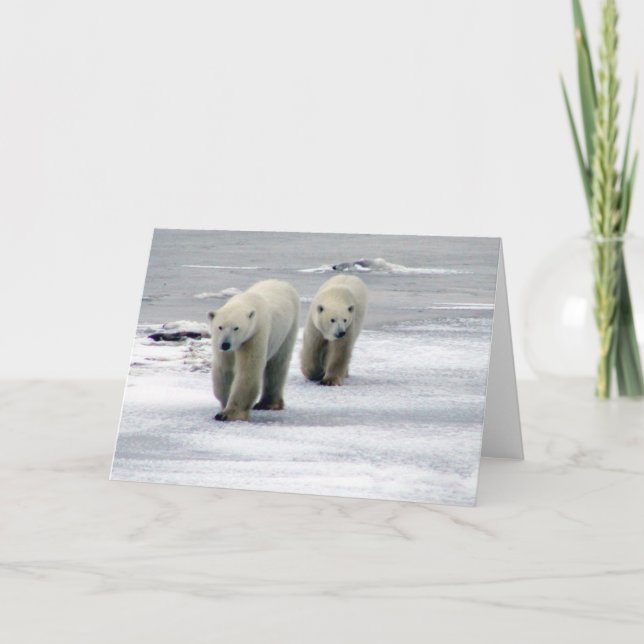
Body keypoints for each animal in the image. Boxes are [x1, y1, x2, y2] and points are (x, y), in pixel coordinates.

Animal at [208, 279, 299, 421]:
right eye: (220, 327)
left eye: (236, 328)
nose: (225, 344)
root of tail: (281, 281)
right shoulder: (221, 346)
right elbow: (225, 369)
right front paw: (224, 404)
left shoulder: (254, 335)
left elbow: (248, 370)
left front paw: (229, 413)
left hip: (288, 328)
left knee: (278, 363)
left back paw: (268, 403)